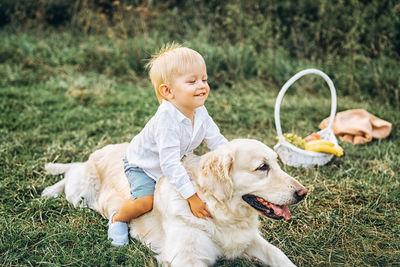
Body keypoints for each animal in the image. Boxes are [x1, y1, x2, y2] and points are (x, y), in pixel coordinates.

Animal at [42, 139, 308, 266]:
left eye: (277, 163)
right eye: (262, 167)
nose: (303, 192)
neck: (217, 211)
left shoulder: (249, 240)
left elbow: (277, 254)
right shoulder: (187, 258)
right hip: (80, 194)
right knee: (72, 172)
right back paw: (50, 189)